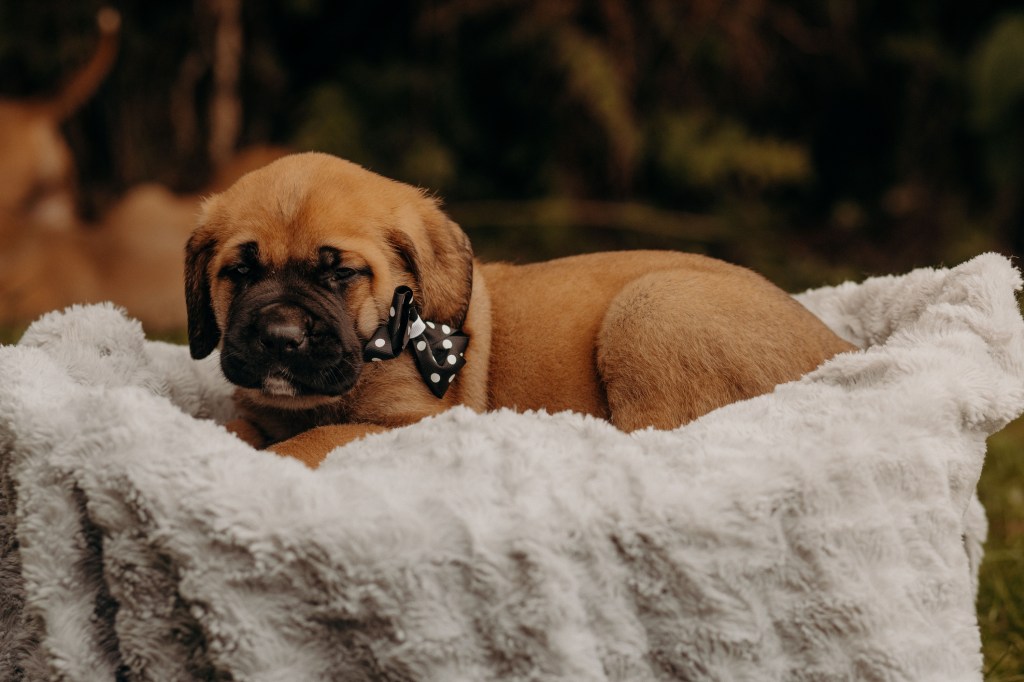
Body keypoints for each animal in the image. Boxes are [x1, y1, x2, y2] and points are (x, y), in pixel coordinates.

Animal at [186, 150, 856, 464]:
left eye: (341, 274)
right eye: (239, 272)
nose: (279, 336)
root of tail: (840, 348)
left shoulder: (406, 425)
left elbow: (312, 440)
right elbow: (238, 427)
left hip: (653, 306)